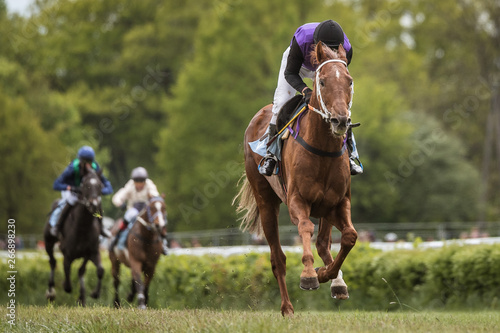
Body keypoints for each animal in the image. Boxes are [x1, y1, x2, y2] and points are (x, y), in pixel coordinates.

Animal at [43, 165, 105, 304]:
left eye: (99, 185)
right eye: (86, 185)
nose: (94, 204)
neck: (83, 227)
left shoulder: (92, 252)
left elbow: (96, 270)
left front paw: (93, 293)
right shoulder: (67, 254)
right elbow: (67, 279)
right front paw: (67, 287)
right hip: (48, 241)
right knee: (52, 261)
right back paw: (51, 292)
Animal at [234, 42, 356, 316]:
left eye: (350, 81)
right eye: (322, 81)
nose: (341, 120)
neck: (322, 149)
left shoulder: (337, 202)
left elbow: (349, 236)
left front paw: (329, 276)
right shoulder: (297, 201)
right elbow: (305, 228)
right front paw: (310, 275)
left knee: (323, 243)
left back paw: (336, 282)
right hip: (266, 201)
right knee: (277, 257)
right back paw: (287, 307)